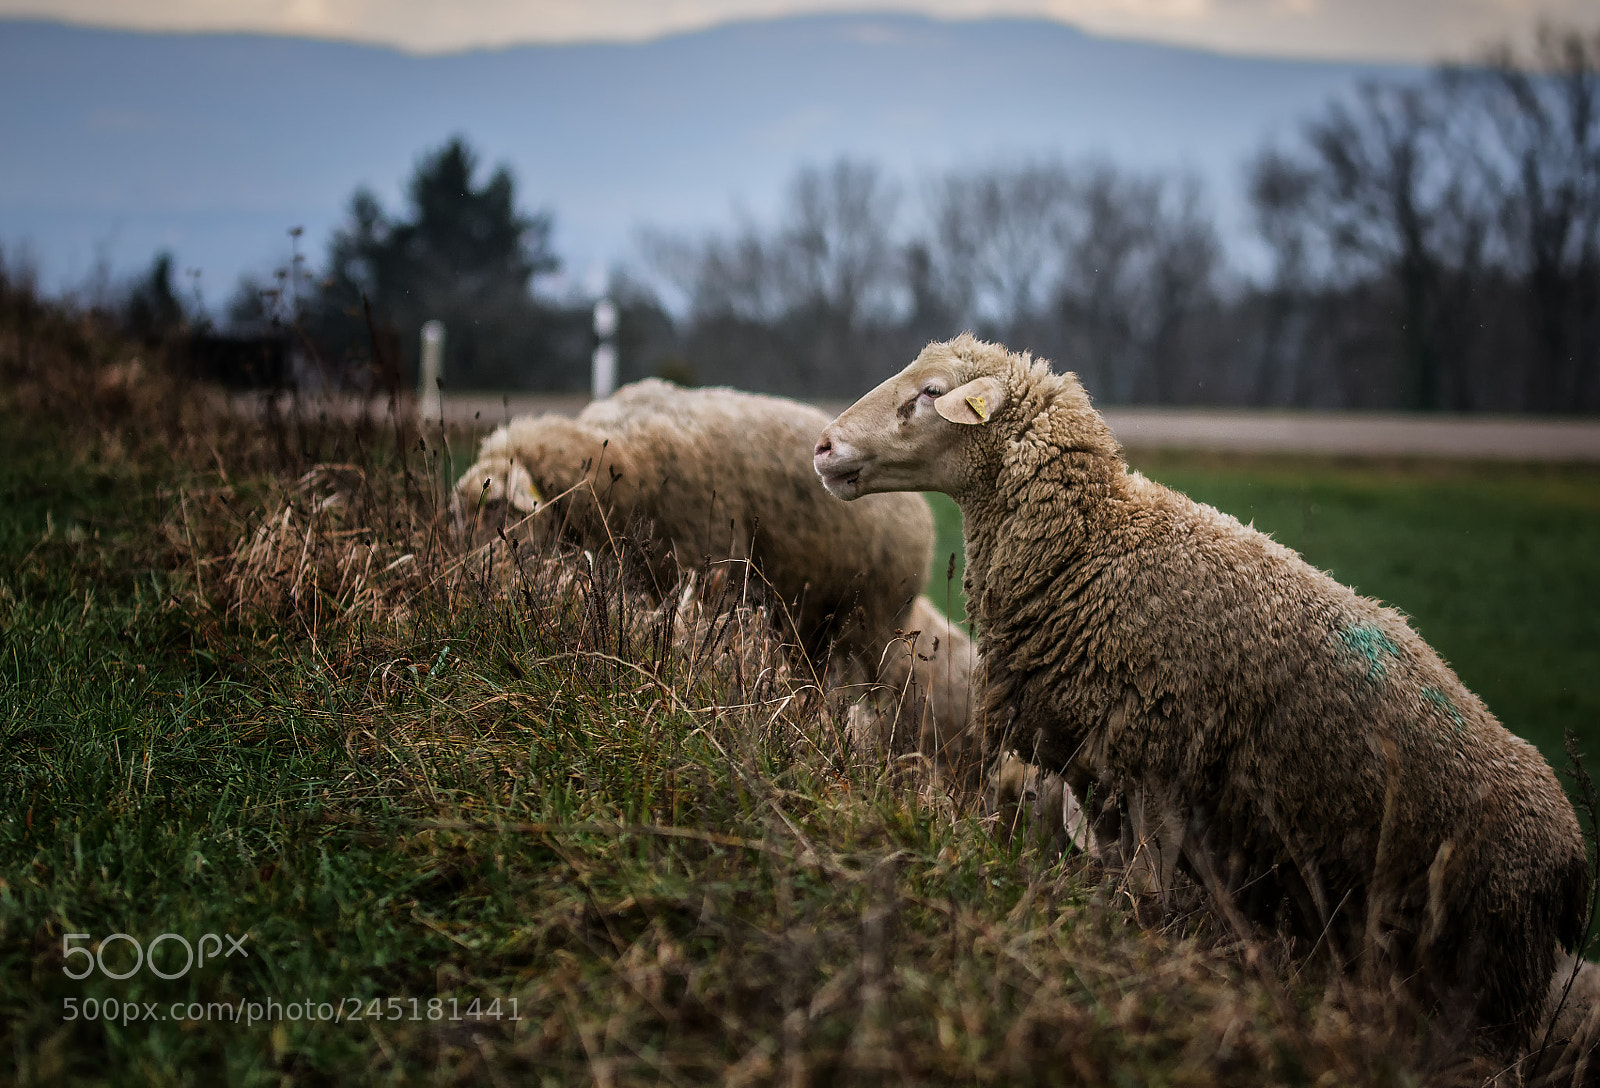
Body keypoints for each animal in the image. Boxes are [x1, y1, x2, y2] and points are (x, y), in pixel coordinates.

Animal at [454, 379, 973, 759]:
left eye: (498, 508)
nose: (469, 579)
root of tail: (921, 510)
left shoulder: (707, 575)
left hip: (873, 628)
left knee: (878, 701)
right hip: (812, 630)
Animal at [813, 333, 1590, 1051]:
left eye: (932, 392)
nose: (823, 446)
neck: (1094, 547)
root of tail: (1574, 851)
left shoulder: (1160, 763)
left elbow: (1147, 900)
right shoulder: (1105, 774)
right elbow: (1116, 887)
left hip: (1493, 970)